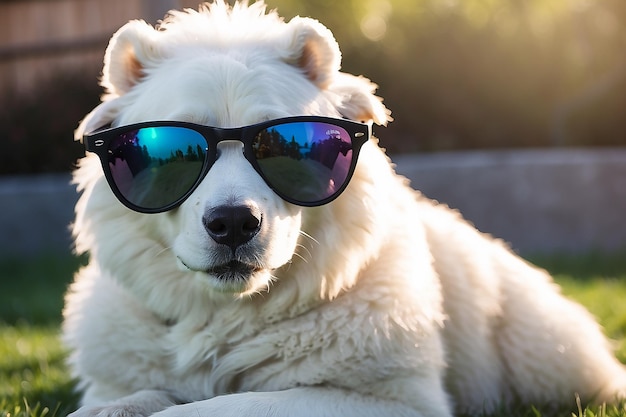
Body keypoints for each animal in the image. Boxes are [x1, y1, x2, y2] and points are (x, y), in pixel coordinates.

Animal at [63, 1, 624, 414]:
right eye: (173, 152)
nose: (233, 224)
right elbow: (134, 397)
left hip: (545, 353)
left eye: (286, 146)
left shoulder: (394, 400)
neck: (229, 315)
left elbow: (234, 405)